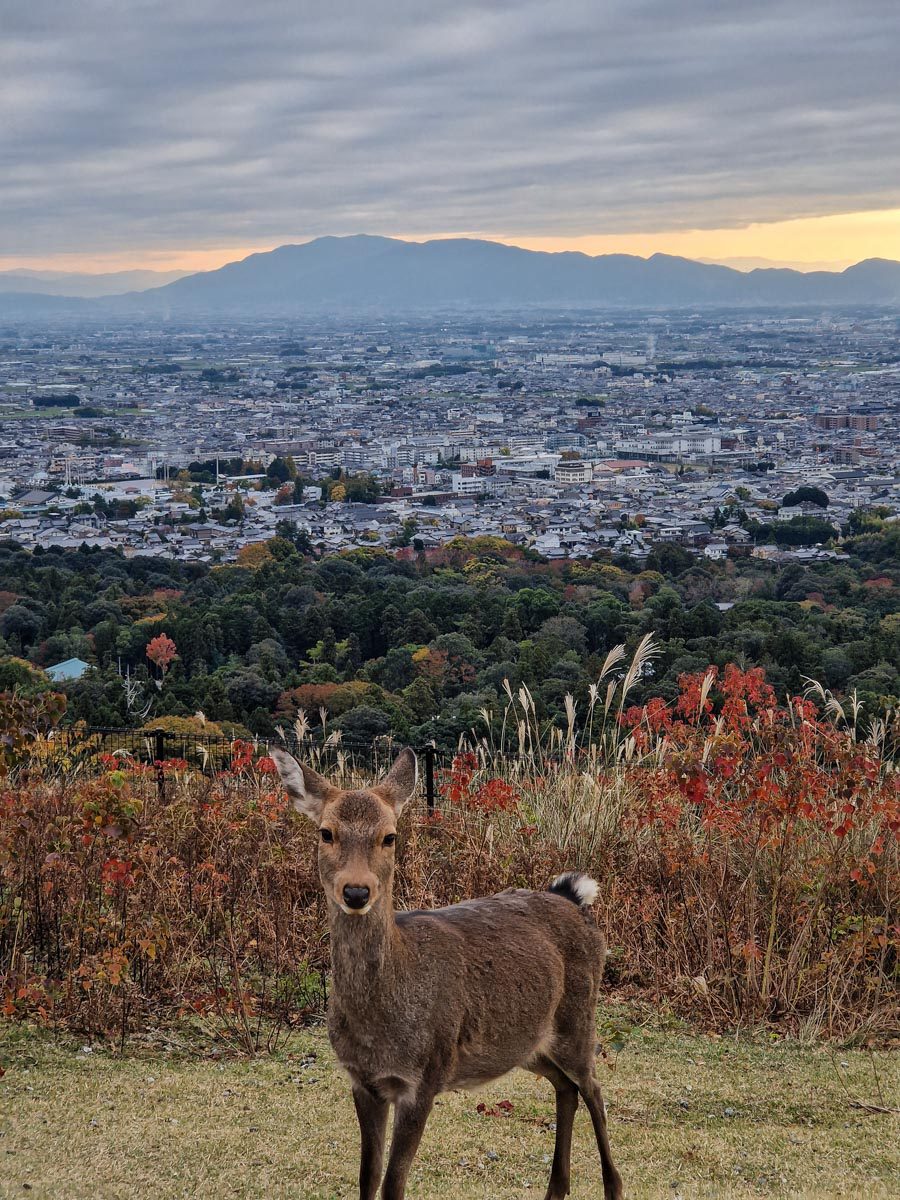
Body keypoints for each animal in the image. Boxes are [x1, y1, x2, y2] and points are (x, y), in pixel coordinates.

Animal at [273, 744, 628, 1195]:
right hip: (525, 1042)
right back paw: (555, 1189)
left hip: (578, 1019)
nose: (356, 891)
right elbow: (367, 1178)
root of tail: (575, 898)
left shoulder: (425, 1077)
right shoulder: (363, 1081)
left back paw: (613, 1187)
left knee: (594, 1090)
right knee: (565, 1087)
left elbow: (392, 1183)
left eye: (389, 836)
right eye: (326, 832)